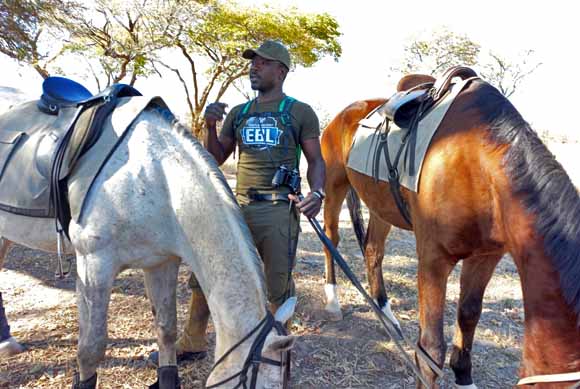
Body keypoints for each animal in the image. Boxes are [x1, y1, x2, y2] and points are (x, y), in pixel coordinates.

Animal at [322, 74, 580, 386]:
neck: (477, 162)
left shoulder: (485, 256)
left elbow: (468, 315)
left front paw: (464, 377)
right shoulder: (433, 260)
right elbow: (430, 349)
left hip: (380, 206)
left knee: (373, 250)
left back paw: (385, 313)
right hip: (333, 185)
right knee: (331, 239)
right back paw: (332, 301)